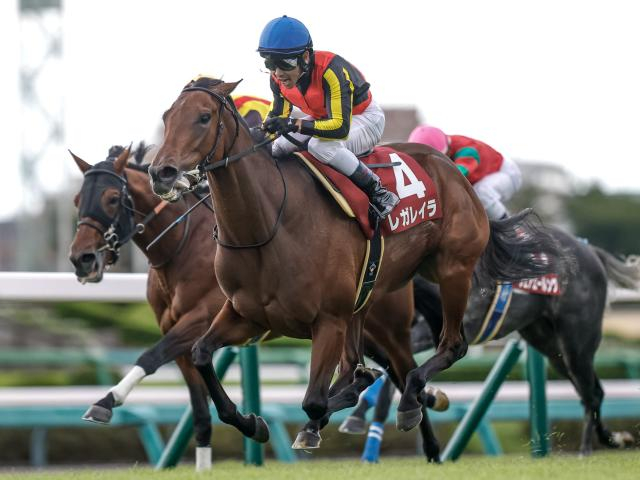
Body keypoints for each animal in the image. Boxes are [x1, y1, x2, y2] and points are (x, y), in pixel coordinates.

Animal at [67, 143, 449, 463]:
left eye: (112, 198)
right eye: (76, 200)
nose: (81, 259)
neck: (182, 248)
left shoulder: (199, 318)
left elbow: (150, 356)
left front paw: (105, 402)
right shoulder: (177, 330)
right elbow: (200, 415)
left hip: (387, 328)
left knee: (402, 369)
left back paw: (427, 437)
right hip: (357, 328)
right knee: (381, 371)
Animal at [147, 76, 562, 450]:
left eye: (203, 117)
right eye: (166, 116)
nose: (161, 172)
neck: (268, 225)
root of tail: (452, 172)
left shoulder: (327, 320)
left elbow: (315, 400)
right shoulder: (245, 313)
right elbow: (201, 355)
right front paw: (252, 423)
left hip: (450, 271)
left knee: (444, 350)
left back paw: (411, 403)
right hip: (368, 299)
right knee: (368, 367)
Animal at [341, 229, 639, 456]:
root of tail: (590, 250)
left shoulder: (425, 330)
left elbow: (396, 374)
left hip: (576, 342)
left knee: (591, 392)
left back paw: (586, 449)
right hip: (548, 344)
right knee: (592, 391)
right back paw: (611, 439)